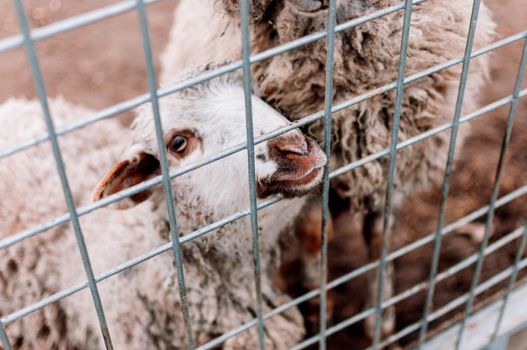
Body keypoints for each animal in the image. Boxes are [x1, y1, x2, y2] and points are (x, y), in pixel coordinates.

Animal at [159, 0, 498, 336]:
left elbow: (380, 234)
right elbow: (314, 233)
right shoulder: (309, 175)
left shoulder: (393, 161)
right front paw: (316, 304)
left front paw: (381, 314)